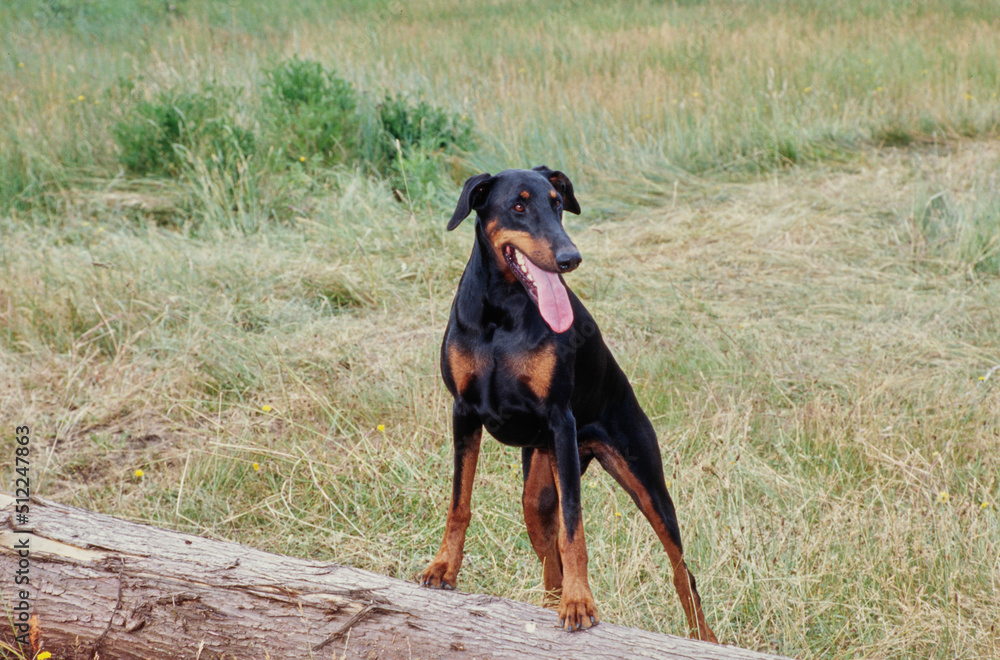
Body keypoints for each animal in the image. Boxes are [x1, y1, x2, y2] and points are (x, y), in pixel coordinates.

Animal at [418, 166, 716, 644]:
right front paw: (444, 567)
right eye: (518, 206)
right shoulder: (463, 412)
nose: (569, 257)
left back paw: (702, 637)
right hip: (538, 494)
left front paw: (581, 602)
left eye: (557, 202)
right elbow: (459, 503)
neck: (503, 312)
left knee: (680, 571)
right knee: (549, 561)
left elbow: (574, 528)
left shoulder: (561, 422)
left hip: (639, 480)